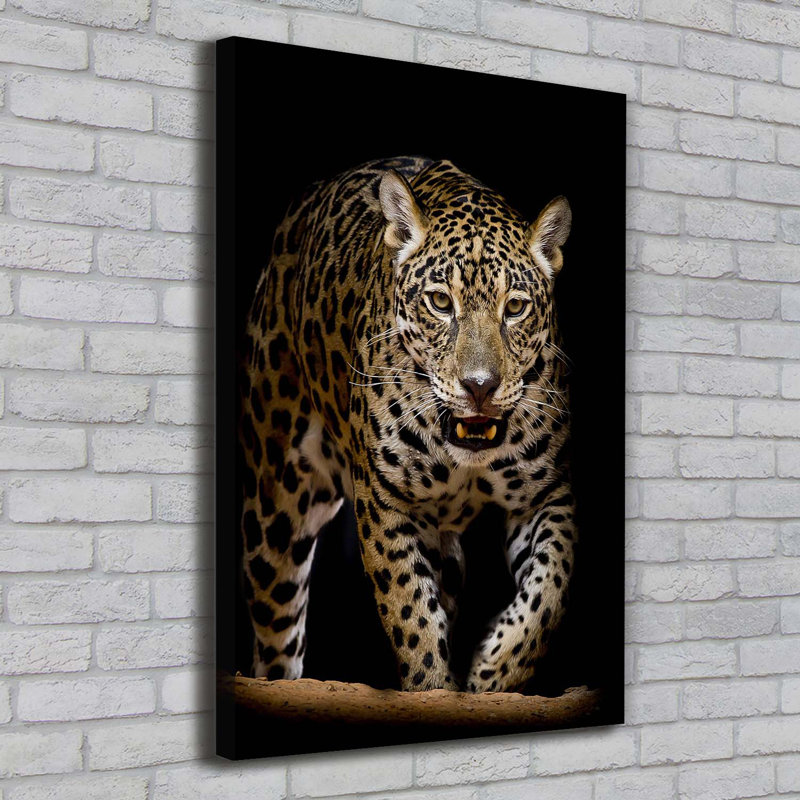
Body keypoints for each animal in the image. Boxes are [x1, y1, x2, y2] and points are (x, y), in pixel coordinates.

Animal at [238, 155, 576, 693]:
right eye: (440, 303)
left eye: (515, 307)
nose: (479, 386)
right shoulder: (385, 502)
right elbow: (410, 613)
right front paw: (434, 686)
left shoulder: (546, 494)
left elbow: (550, 590)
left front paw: (492, 670)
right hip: (275, 510)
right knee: (277, 633)